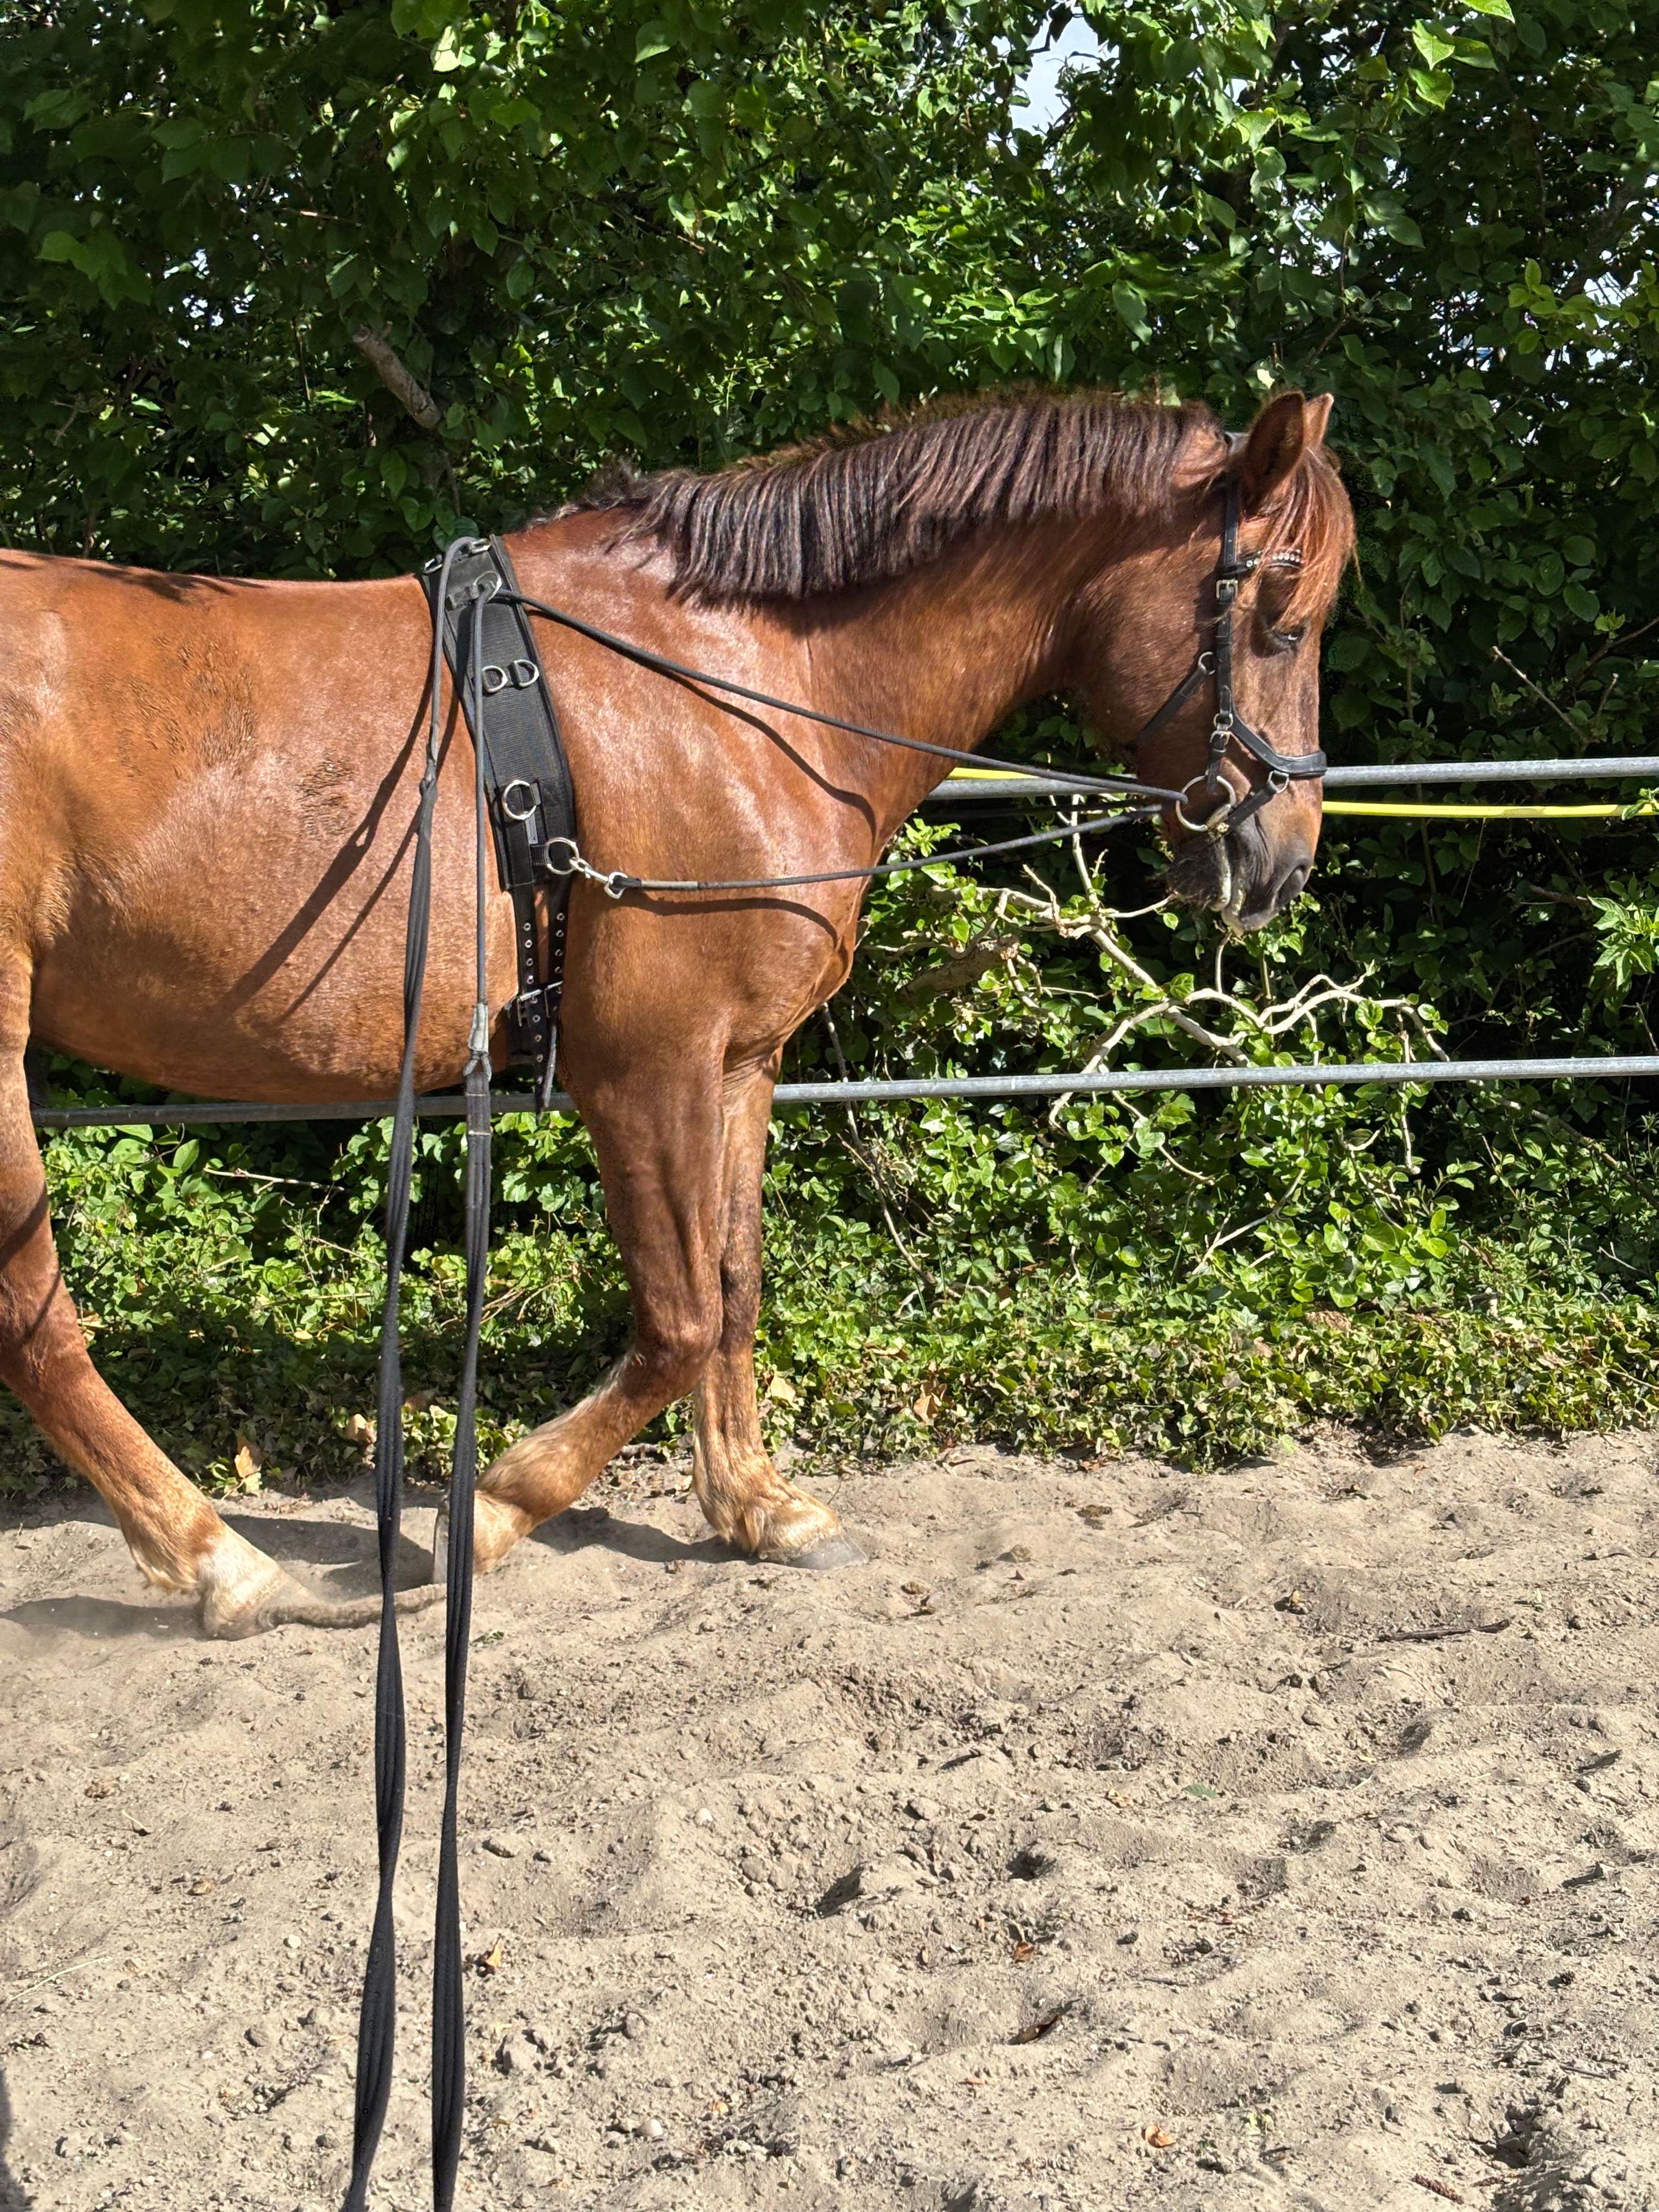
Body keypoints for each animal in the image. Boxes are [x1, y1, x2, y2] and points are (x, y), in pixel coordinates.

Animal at [0, 385, 1352, 1638]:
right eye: (1280, 620)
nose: (1282, 861)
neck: (739, 695)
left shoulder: (738, 1064)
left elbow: (735, 1286)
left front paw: (760, 1507)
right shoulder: (644, 1072)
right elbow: (681, 1318)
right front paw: (489, 1509)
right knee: (38, 1326)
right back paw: (223, 1563)